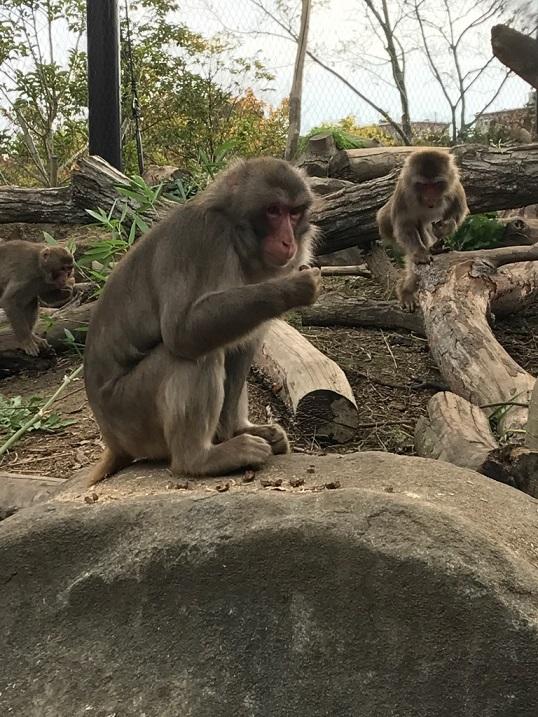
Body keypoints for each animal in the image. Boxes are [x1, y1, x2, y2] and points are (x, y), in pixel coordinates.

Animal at [84, 155, 318, 482]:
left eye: (294, 213)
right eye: (274, 211)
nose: (288, 242)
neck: (234, 234)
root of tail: (113, 441)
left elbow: (244, 345)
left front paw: (232, 431)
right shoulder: (204, 239)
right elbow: (182, 331)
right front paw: (293, 288)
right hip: (130, 413)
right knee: (192, 355)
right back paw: (199, 459)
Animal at [374, 148, 466, 308]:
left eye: (436, 184)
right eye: (423, 185)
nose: (430, 197)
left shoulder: (455, 187)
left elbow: (457, 213)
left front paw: (445, 227)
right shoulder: (404, 193)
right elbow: (405, 226)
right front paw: (420, 252)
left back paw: (435, 248)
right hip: (386, 228)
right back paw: (405, 291)